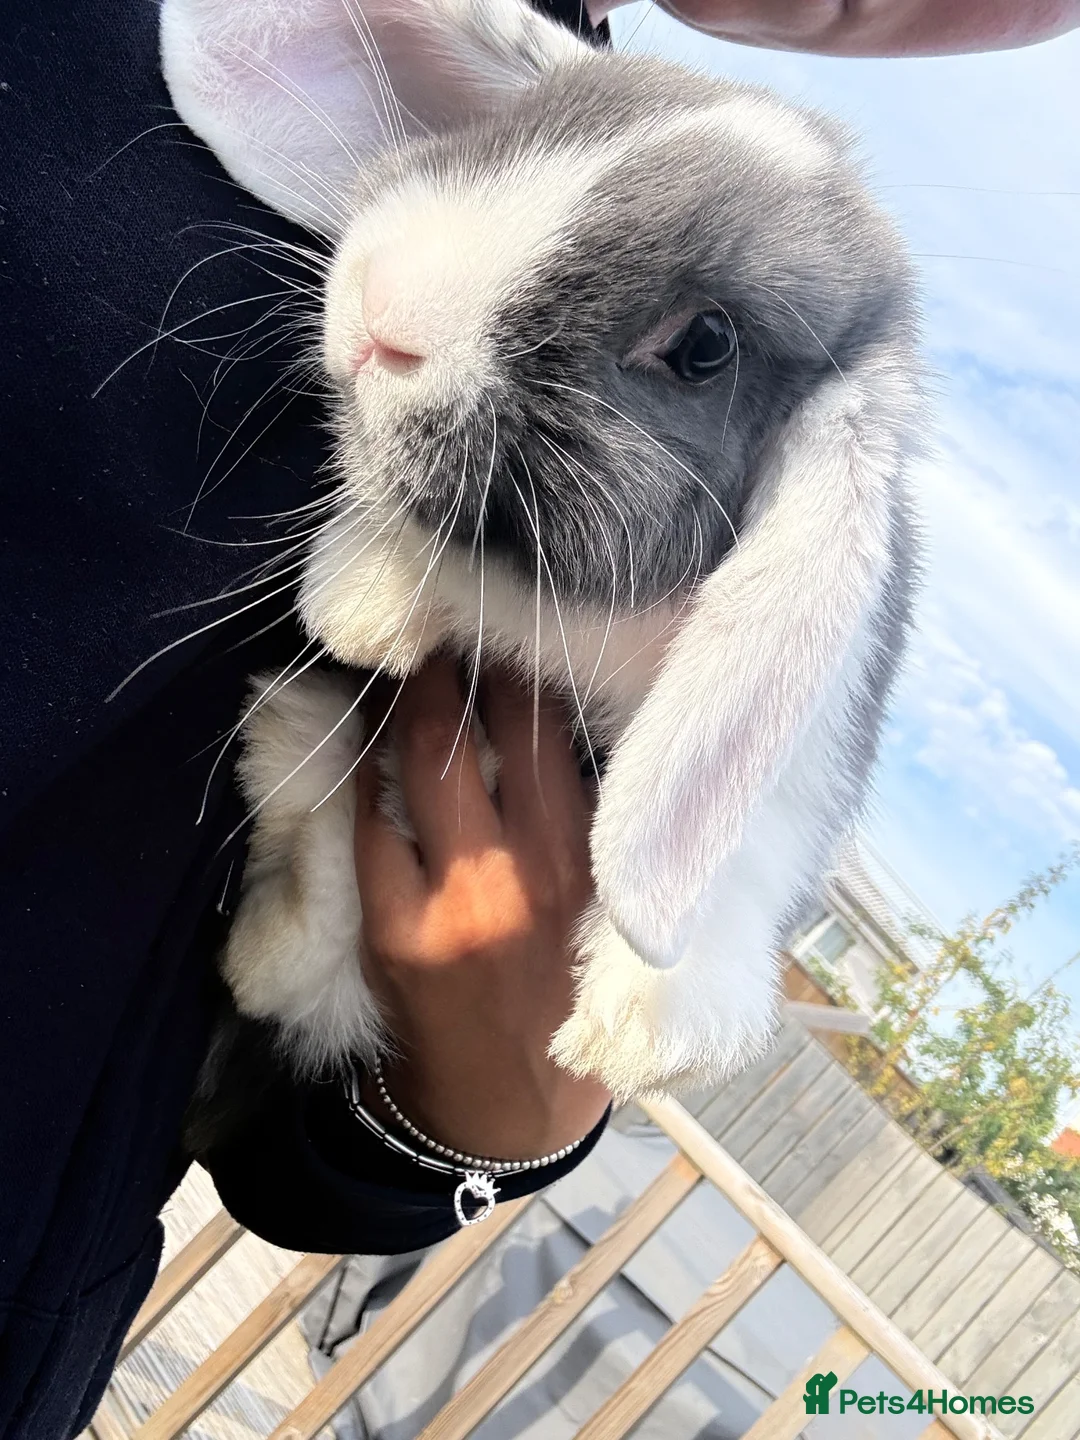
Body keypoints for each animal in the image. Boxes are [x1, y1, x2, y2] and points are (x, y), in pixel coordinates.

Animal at [162, 0, 924, 1099]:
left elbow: (756, 843)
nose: (385, 305)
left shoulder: (808, 751)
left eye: (705, 345)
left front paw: (640, 1027)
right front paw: (364, 601)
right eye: (521, 134)